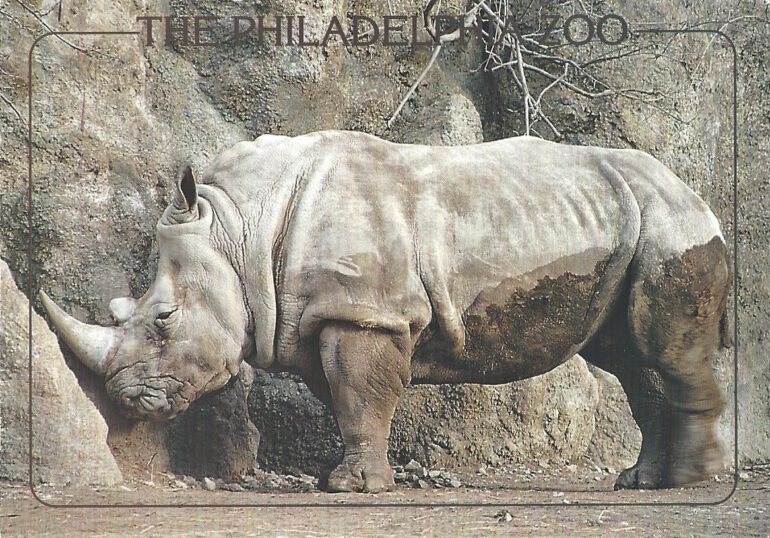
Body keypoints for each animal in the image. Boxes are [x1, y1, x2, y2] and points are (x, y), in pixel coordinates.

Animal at [40, 130, 732, 492]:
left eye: (162, 320)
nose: (125, 398)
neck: (240, 230)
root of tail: (698, 195)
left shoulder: (364, 312)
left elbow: (358, 393)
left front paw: (348, 488)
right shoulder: (329, 314)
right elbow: (348, 398)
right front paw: (351, 476)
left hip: (671, 225)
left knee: (664, 352)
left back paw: (690, 482)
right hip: (632, 222)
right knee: (633, 359)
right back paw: (641, 482)